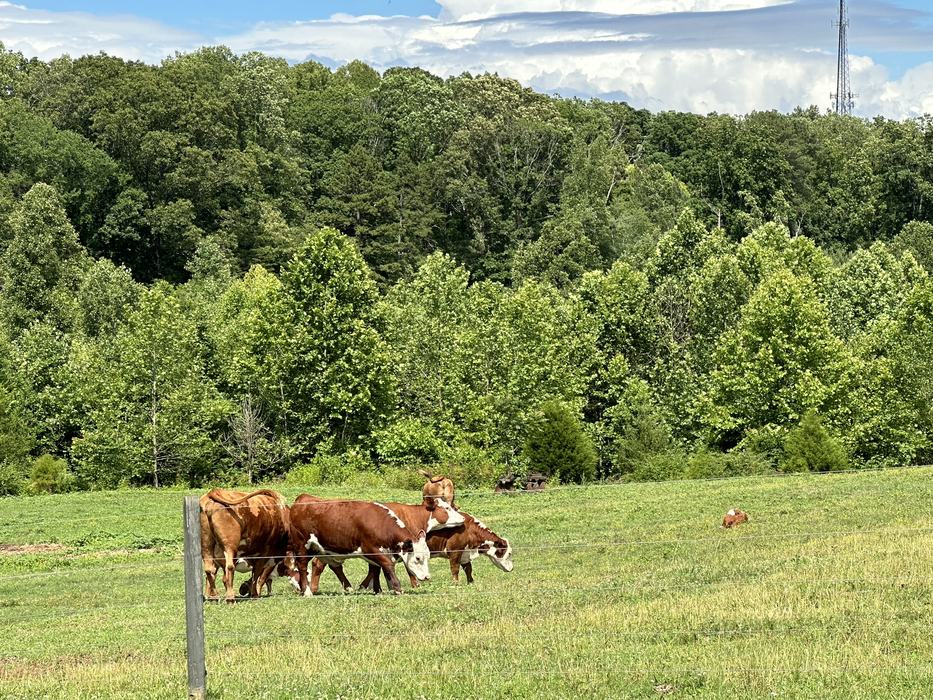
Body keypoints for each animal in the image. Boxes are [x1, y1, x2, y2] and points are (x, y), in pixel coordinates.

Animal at [289, 496, 432, 595]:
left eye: (428, 556)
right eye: (418, 558)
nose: (427, 577)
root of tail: (303, 498)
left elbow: (376, 569)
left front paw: (378, 590)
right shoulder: (370, 548)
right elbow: (387, 565)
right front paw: (397, 588)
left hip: (322, 550)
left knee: (333, 566)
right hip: (303, 546)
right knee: (302, 567)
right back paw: (307, 591)